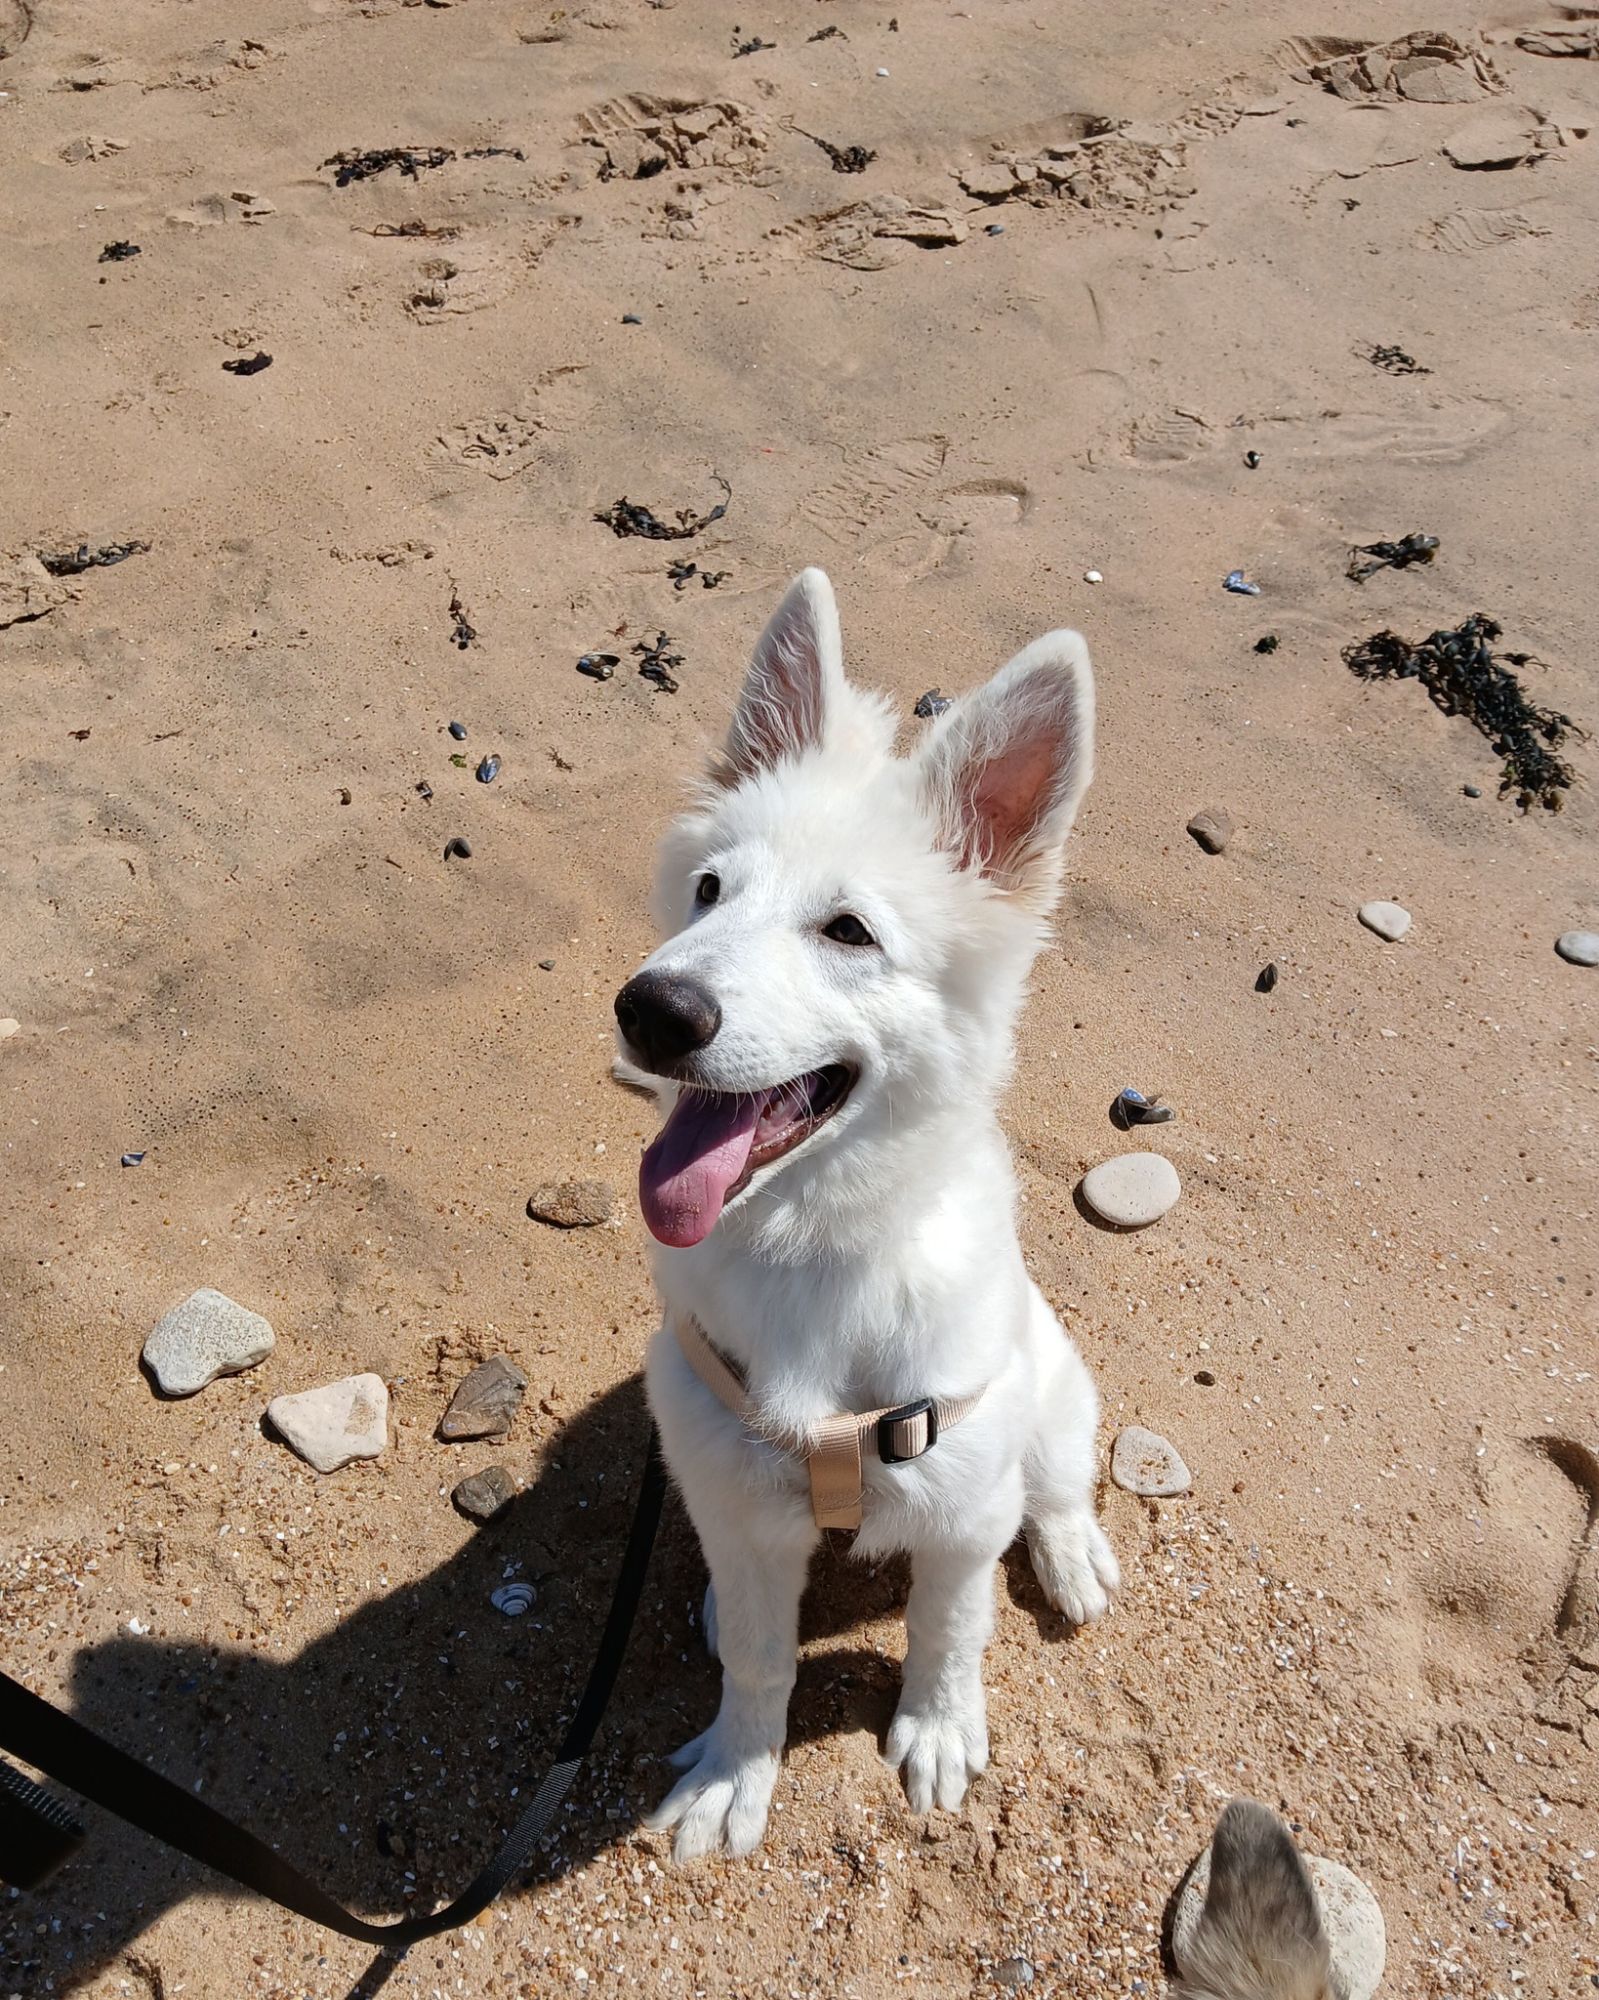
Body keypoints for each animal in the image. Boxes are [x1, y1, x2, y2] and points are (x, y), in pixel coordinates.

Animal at [614, 568, 1119, 1860]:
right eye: (708, 891)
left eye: (848, 930)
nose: (651, 1008)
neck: (819, 1251)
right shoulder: (738, 1497)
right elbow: (757, 1657)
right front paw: (737, 1769)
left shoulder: (962, 1508)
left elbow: (949, 1630)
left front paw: (938, 1727)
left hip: (1052, 1390)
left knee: (1057, 1485)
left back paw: (1073, 1552)